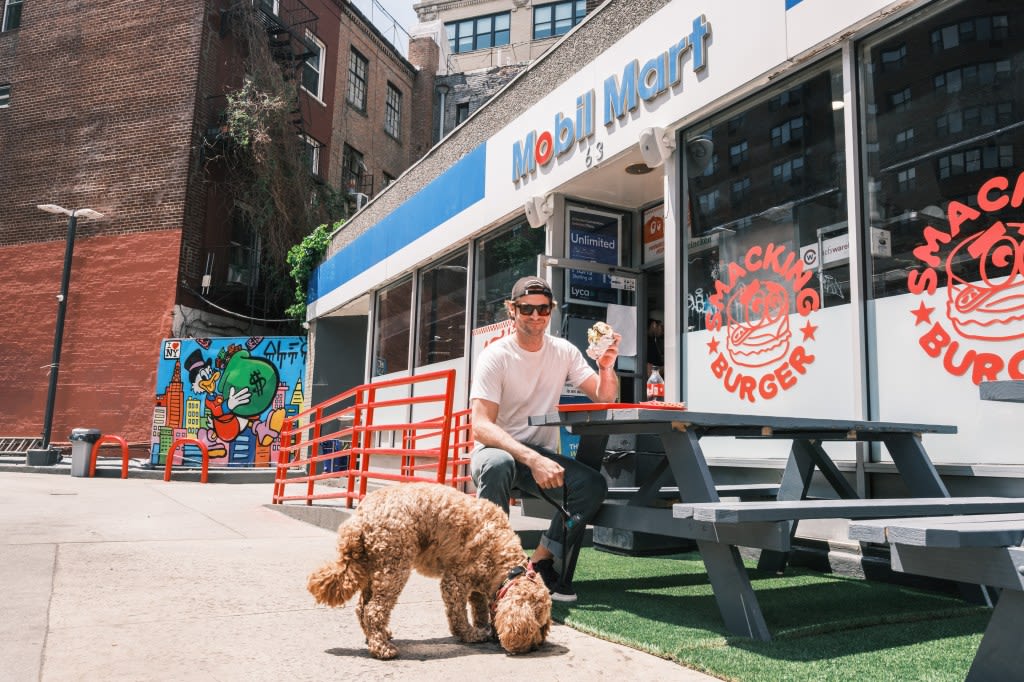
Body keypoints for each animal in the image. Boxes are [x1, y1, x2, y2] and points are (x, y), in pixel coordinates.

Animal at [307, 481, 552, 655]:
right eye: (537, 624)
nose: (537, 646)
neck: (505, 562)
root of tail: (358, 519)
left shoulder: (478, 582)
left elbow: (479, 606)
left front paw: (485, 628)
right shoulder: (455, 581)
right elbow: (458, 614)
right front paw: (470, 634)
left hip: (372, 566)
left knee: (362, 607)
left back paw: (377, 636)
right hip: (394, 566)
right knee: (373, 610)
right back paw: (382, 648)